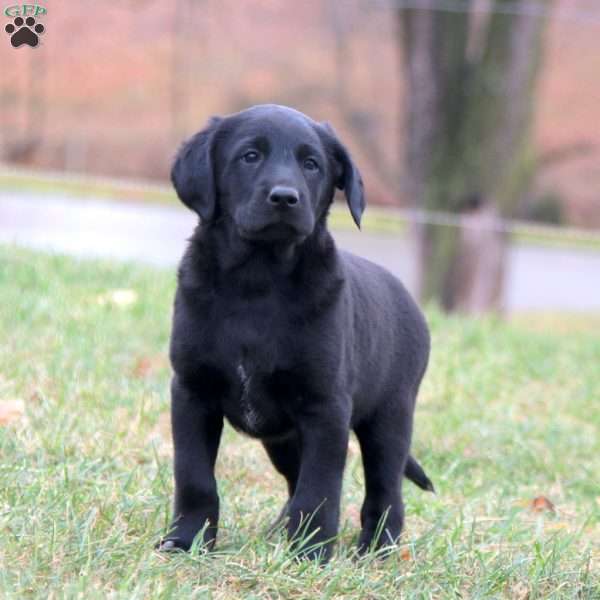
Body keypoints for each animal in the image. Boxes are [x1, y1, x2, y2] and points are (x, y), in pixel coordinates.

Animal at [159, 104, 432, 564]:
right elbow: (195, 477)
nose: (285, 197)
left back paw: (375, 550)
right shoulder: (192, 392)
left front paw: (311, 554)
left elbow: (319, 488)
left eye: (311, 164)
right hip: (284, 438)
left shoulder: (326, 408)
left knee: (386, 492)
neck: (257, 281)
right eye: (250, 156)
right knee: (294, 480)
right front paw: (187, 540)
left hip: (389, 418)